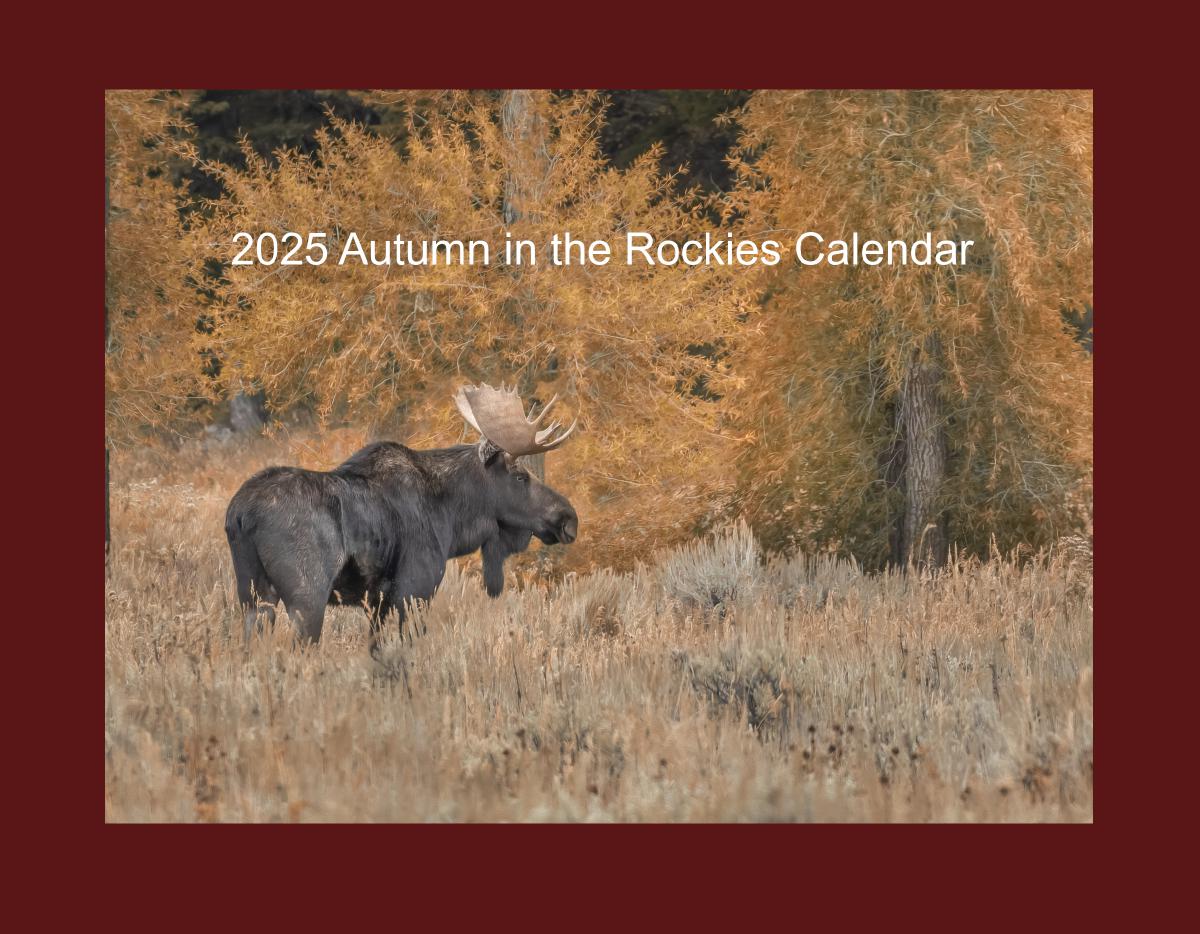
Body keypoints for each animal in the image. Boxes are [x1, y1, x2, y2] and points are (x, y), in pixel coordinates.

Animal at [228, 379, 580, 648]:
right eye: (520, 476)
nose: (569, 519)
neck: (453, 519)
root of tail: (240, 514)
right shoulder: (415, 589)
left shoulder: (378, 603)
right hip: (306, 596)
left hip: (253, 597)